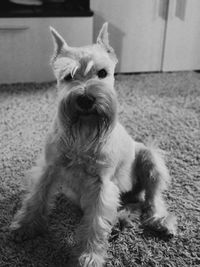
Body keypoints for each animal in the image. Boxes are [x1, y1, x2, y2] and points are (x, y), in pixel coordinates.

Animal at [10, 23, 177, 267]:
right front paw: (25, 226)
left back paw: (161, 221)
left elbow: (96, 222)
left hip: (151, 159)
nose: (86, 99)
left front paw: (90, 255)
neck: (83, 132)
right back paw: (122, 219)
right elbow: (36, 198)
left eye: (103, 73)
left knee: (152, 200)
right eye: (68, 76)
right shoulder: (49, 169)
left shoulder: (101, 185)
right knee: (134, 204)